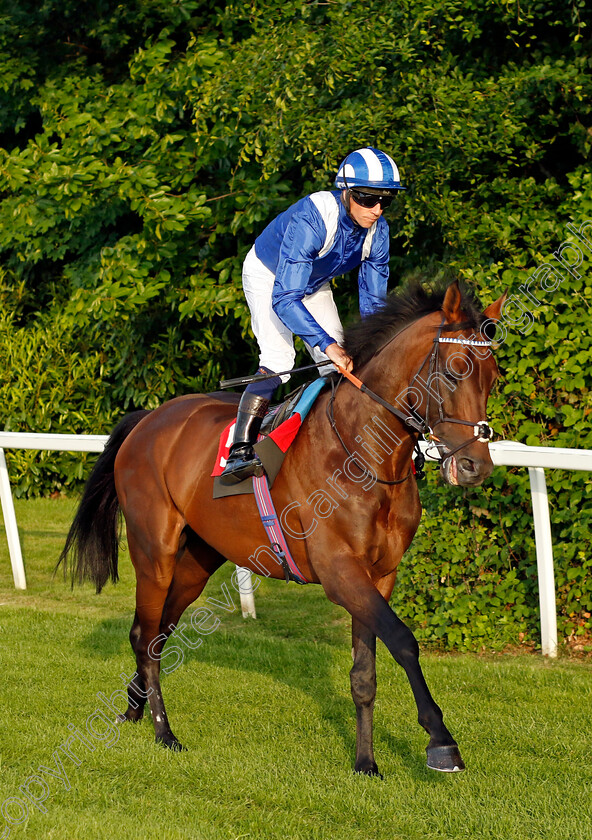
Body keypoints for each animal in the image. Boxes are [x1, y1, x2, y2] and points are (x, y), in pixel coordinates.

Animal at [60, 280, 504, 776]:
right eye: (453, 370)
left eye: (493, 377)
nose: (474, 466)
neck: (364, 456)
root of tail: (148, 418)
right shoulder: (339, 572)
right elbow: (404, 642)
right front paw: (441, 741)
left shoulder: (379, 576)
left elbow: (364, 673)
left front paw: (365, 762)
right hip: (154, 551)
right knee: (145, 635)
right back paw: (163, 731)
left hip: (197, 561)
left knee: (155, 631)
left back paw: (135, 709)